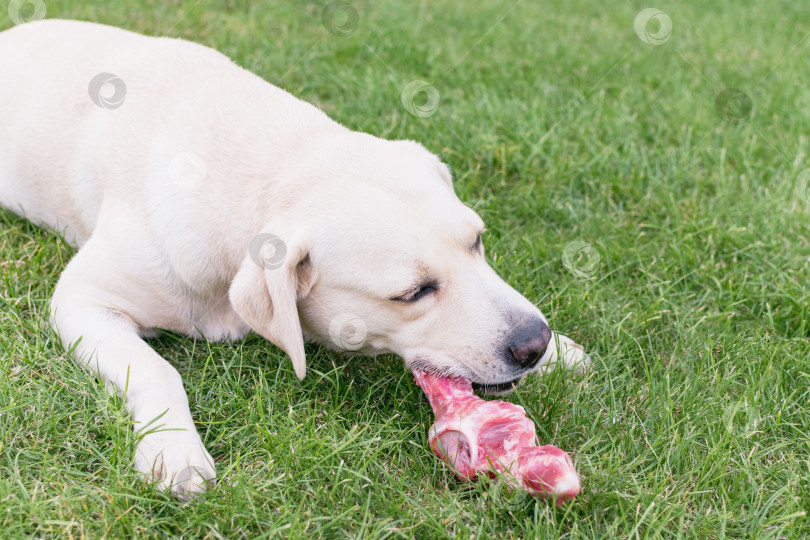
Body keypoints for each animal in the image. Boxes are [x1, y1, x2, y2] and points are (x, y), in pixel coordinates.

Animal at [0, 20, 588, 498]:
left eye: (478, 242)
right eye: (413, 293)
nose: (534, 344)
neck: (273, 163)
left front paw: (562, 350)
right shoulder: (81, 301)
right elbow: (155, 367)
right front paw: (175, 448)